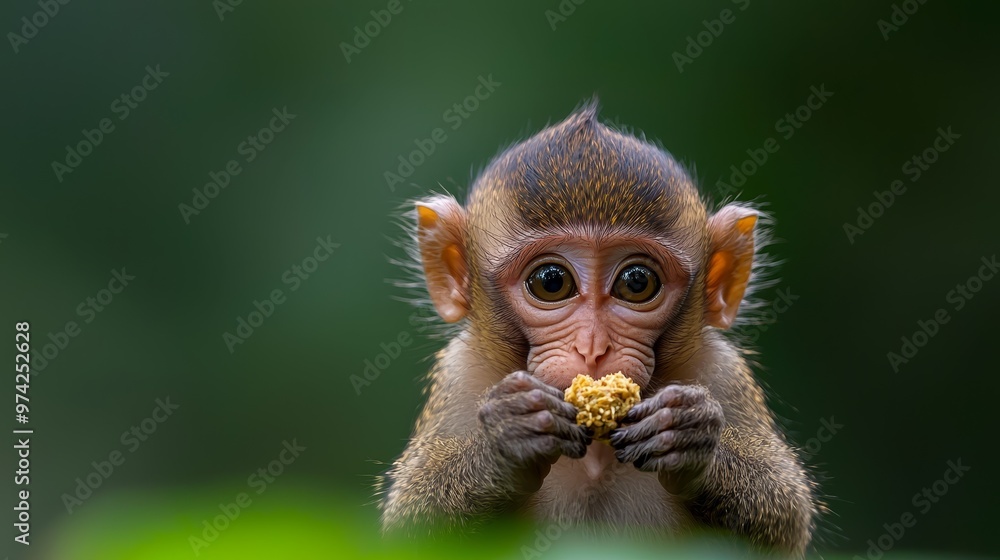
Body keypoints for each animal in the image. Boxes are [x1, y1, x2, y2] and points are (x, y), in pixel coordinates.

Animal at [378, 101, 819, 555]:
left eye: (637, 282)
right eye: (551, 281)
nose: (593, 348)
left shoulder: (722, 370)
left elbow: (786, 521)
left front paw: (690, 436)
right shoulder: (460, 372)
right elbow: (410, 536)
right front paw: (504, 437)